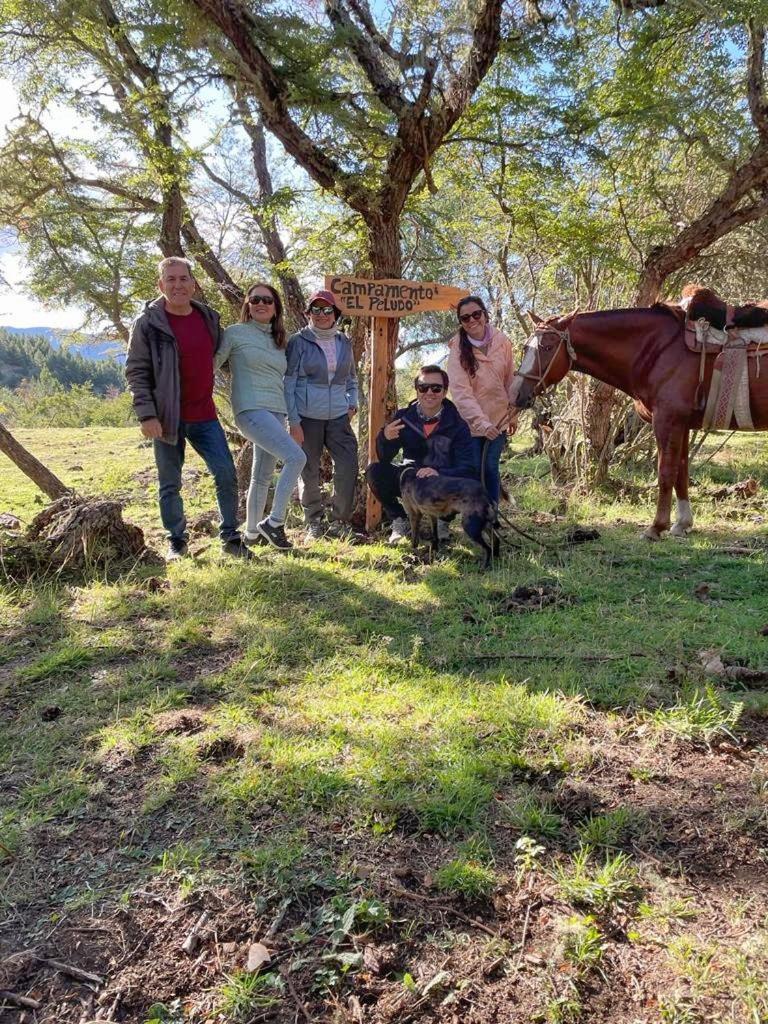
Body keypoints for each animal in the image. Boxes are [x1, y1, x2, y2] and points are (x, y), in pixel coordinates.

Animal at [512, 301, 768, 540]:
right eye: (525, 347)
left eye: (547, 347)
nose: (516, 394)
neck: (659, 349)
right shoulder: (682, 424)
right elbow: (681, 471)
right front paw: (682, 524)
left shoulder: (667, 420)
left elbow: (665, 472)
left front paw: (656, 527)